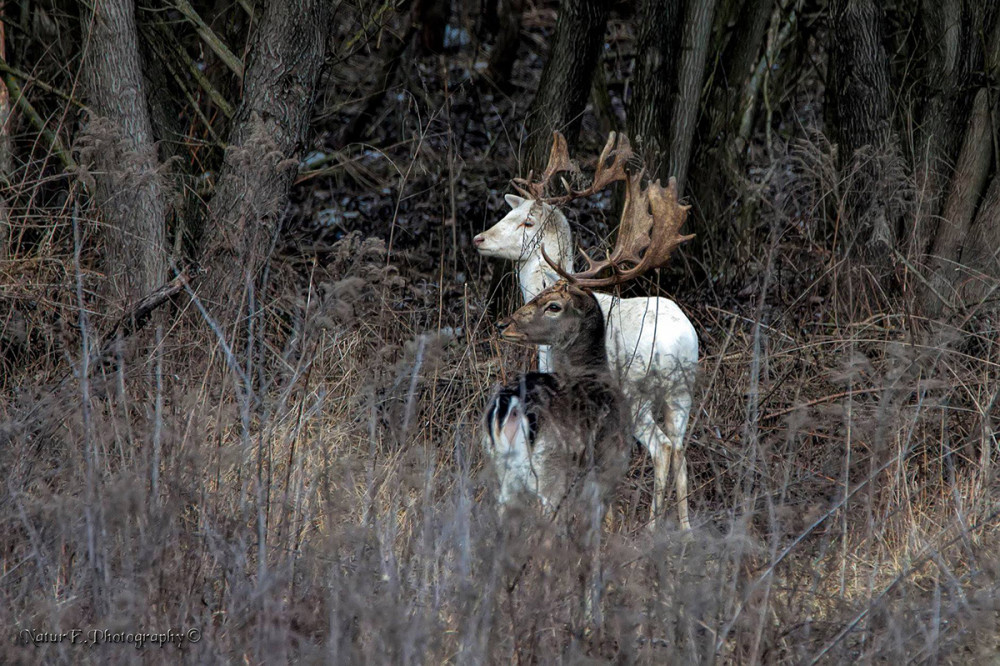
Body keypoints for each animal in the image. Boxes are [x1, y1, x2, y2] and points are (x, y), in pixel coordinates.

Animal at [474, 132, 696, 528]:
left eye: (527, 222)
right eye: (508, 213)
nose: (479, 238)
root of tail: (680, 344)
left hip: (636, 393)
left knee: (663, 448)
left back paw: (652, 526)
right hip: (683, 392)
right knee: (681, 449)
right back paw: (685, 529)